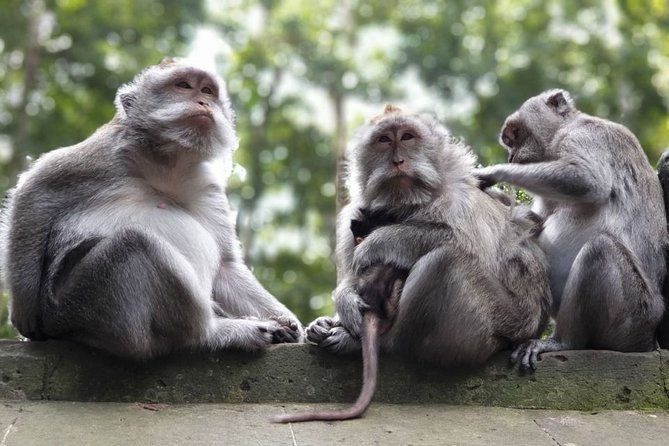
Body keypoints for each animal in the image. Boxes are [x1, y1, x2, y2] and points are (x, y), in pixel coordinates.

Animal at [0, 58, 302, 358]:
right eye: (183, 86)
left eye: (207, 91)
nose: (203, 102)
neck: (168, 163)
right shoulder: (105, 151)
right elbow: (36, 191)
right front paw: (24, 313)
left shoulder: (208, 186)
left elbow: (226, 267)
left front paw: (289, 322)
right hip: (82, 306)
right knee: (135, 242)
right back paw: (212, 333)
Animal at [478, 88, 664, 370]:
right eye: (508, 140)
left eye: (516, 134)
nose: (510, 156)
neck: (563, 130)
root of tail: (648, 340)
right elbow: (535, 222)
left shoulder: (586, 136)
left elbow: (588, 180)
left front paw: (493, 172)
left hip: (635, 317)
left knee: (601, 249)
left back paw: (562, 342)